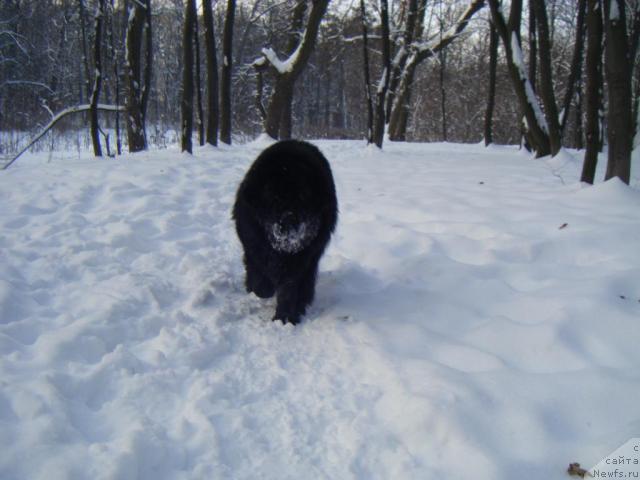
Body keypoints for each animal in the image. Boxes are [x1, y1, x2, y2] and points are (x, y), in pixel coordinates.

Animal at [232, 141, 338, 324]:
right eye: (273, 197)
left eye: (303, 196)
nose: (289, 219)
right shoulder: (252, 244)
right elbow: (259, 277)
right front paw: (262, 290)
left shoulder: (302, 258)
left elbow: (290, 287)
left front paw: (285, 317)